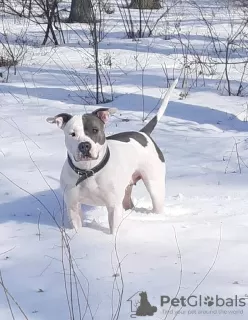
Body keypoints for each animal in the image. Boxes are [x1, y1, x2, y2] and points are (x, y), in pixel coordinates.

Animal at [46, 79, 177, 234]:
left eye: (95, 130)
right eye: (72, 134)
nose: (84, 145)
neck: (89, 170)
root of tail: (143, 133)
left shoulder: (113, 206)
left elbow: (114, 229)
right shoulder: (73, 207)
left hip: (154, 185)